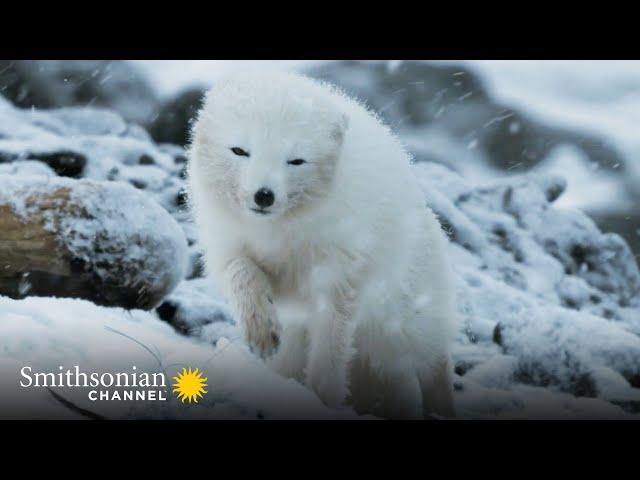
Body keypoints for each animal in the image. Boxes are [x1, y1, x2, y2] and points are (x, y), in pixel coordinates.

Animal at [188, 69, 458, 418]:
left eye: (295, 160)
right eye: (239, 150)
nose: (264, 195)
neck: (278, 234)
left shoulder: (338, 281)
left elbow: (330, 350)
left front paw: (322, 399)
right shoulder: (227, 248)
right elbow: (242, 274)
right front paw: (262, 332)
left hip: (406, 321)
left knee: (435, 362)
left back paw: (443, 406)